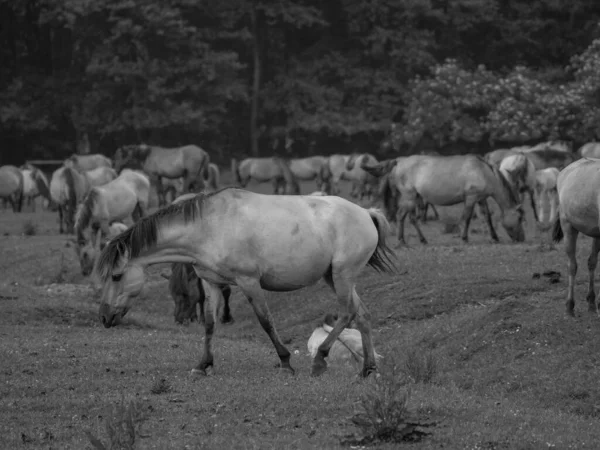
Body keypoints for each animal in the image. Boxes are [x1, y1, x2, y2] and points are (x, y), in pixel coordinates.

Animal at [94, 186, 396, 376]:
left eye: (117, 276)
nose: (105, 317)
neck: (210, 226)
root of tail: (366, 213)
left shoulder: (249, 282)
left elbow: (265, 321)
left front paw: (285, 362)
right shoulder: (212, 284)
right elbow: (209, 324)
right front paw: (202, 365)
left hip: (342, 276)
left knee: (346, 314)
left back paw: (320, 360)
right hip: (334, 277)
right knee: (362, 315)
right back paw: (368, 369)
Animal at [386, 155, 524, 246]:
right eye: (519, 218)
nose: (521, 239)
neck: (483, 172)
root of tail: (399, 161)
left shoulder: (481, 199)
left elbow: (487, 217)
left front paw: (494, 237)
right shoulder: (471, 198)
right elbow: (467, 218)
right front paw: (464, 238)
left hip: (413, 198)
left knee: (405, 217)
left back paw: (410, 240)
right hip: (409, 197)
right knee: (406, 217)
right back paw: (410, 240)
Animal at [552, 158, 600, 316]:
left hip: (596, 233)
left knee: (592, 262)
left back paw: (592, 302)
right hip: (568, 227)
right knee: (572, 265)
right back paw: (569, 307)